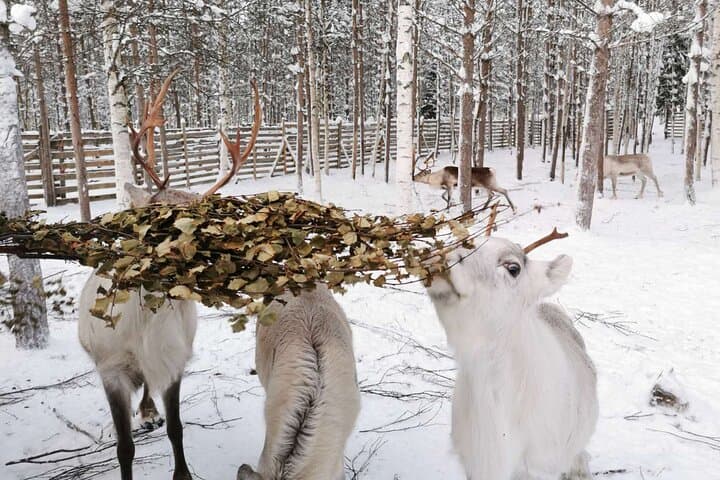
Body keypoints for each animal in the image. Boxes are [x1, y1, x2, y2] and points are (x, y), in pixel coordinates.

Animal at [77, 72, 261, 480]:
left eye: (201, 223)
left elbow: (177, 428)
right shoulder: (111, 370)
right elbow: (124, 447)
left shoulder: (175, 360)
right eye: (151, 214)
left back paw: (149, 412)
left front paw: (183, 473)